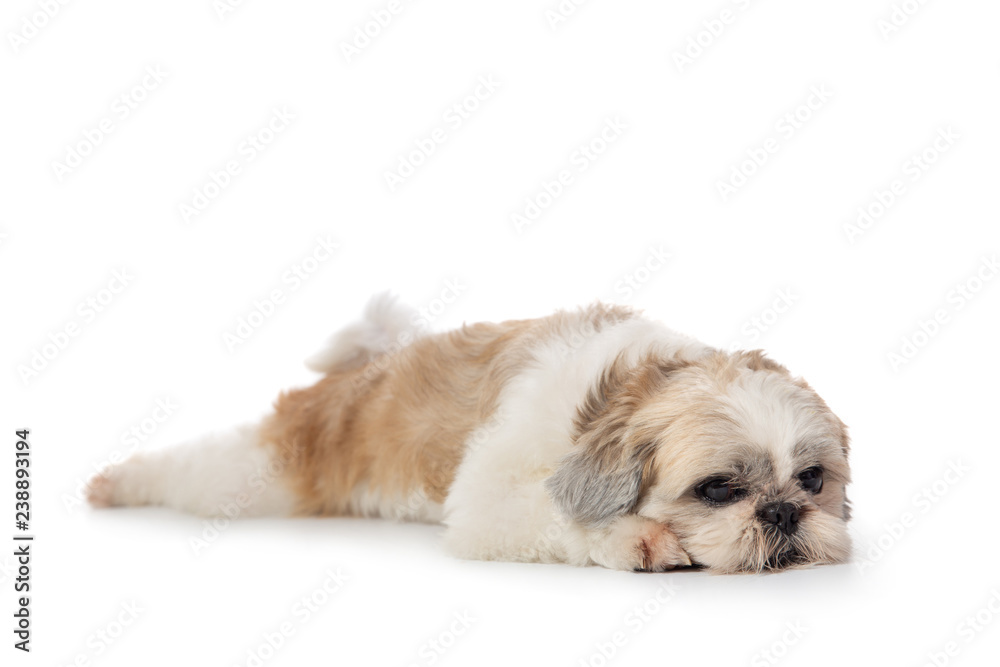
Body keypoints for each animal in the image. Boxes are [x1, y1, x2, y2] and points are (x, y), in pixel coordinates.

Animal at [88, 296, 852, 576]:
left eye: (812, 480)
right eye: (718, 489)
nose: (782, 513)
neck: (607, 400)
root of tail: (366, 370)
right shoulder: (488, 501)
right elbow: (558, 519)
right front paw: (632, 536)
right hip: (263, 475)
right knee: (193, 470)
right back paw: (119, 481)